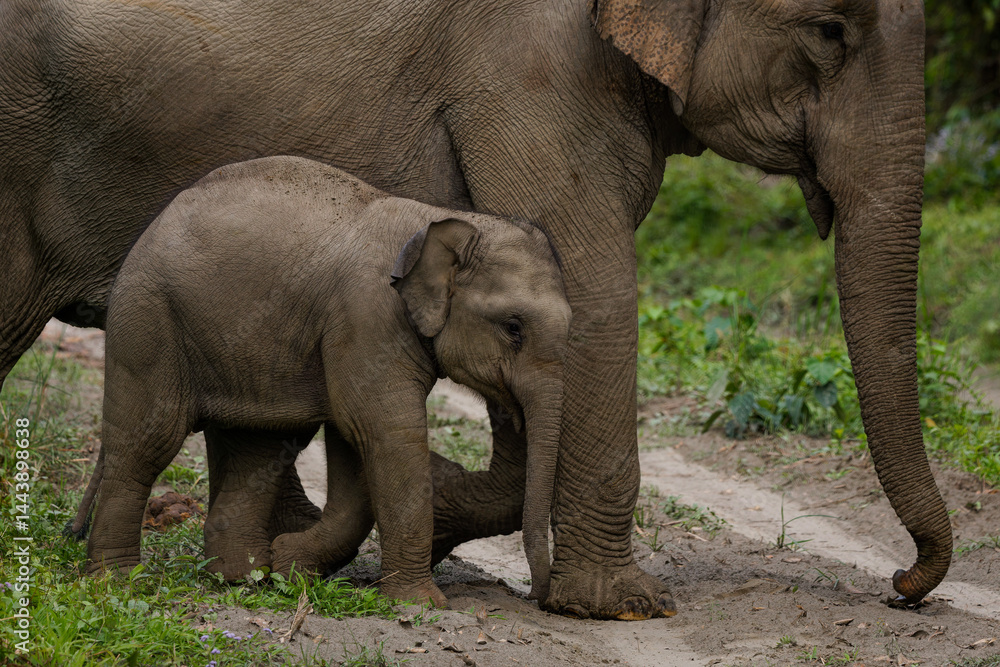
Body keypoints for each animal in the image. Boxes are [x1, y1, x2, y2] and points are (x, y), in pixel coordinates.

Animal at [77, 156, 570, 607]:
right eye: (513, 328)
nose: (539, 598)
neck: (438, 221)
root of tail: (154, 224)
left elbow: (354, 445)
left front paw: (291, 566)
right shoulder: (366, 317)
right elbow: (384, 432)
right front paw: (420, 604)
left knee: (261, 444)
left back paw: (242, 577)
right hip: (149, 321)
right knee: (148, 443)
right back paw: (119, 583)